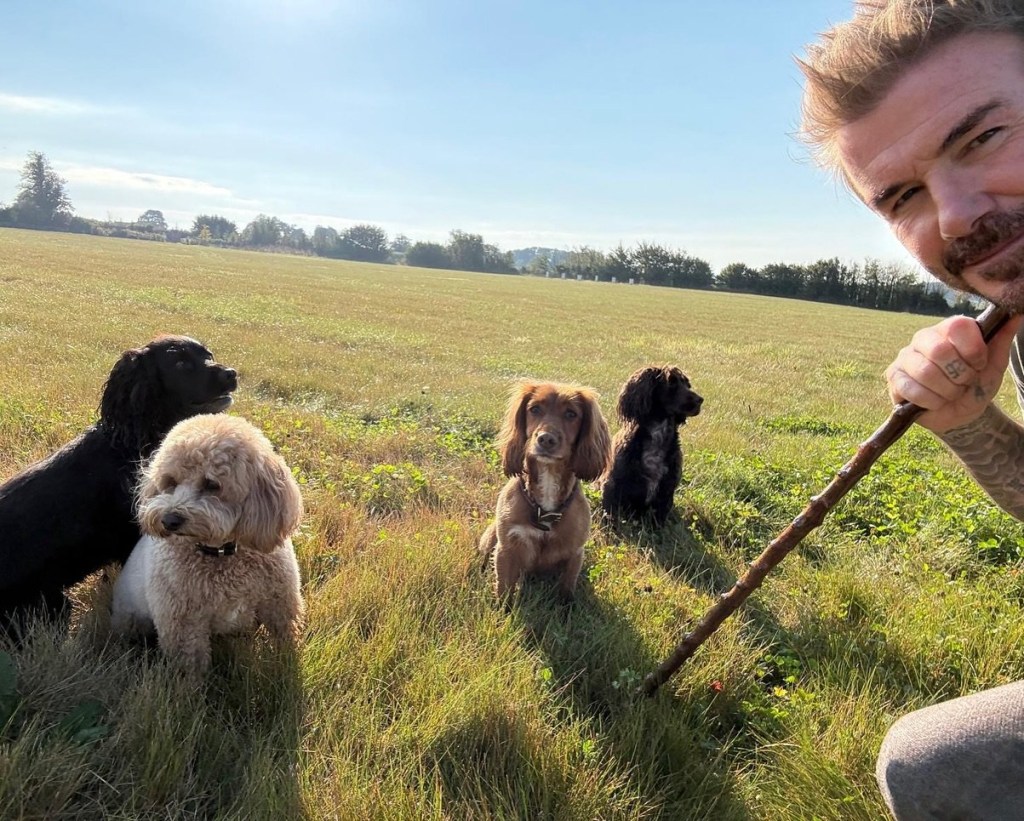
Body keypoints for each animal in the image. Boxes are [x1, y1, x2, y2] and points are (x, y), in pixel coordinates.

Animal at [113, 413, 303, 675]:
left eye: (212, 484)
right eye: (170, 482)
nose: (169, 520)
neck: (222, 553)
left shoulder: (281, 604)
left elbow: (287, 642)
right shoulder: (183, 625)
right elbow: (192, 669)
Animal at [477, 378, 610, 601]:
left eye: (571, 414)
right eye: (535, 409)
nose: (546, 439)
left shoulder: (575, 553)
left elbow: (566, 591)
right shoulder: (506, 548)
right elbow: (504, 592)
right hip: (489, 538)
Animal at [598, 364, 704, 524]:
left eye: (687, 384)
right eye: (671, 382)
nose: (700, 400)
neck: (658, 436)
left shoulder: (666, 490)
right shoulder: (612, 484)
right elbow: (611, 513)